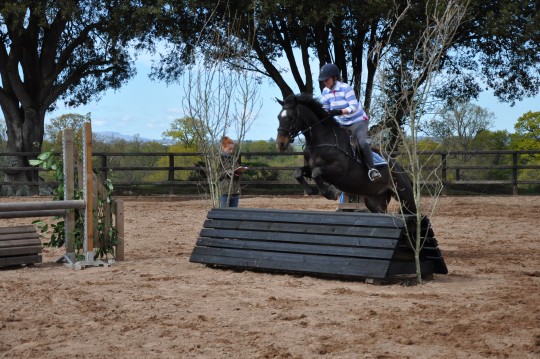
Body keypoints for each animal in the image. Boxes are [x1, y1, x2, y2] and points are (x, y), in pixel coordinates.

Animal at [274, 94, 418, 215]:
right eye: (278, 117)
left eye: (290, 118)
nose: (280, 143)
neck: (321, 141)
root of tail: (400, 169)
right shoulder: (309, 168)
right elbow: (298, 172)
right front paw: (311, 190)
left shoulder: (339, 170)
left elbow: (316, 172)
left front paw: (330, 193)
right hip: (375, 201)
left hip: (405, 196)